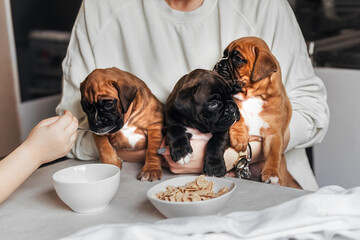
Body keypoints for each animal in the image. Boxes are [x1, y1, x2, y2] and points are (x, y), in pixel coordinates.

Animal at [215, 36, 300, 188]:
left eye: (237, 59)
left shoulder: (274, 134)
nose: (219, 63)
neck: (253, 96)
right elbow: (238, 117)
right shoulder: (233, 104)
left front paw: (271, 174)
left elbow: (273, 154)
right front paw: (239, 137)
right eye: (224, 54)